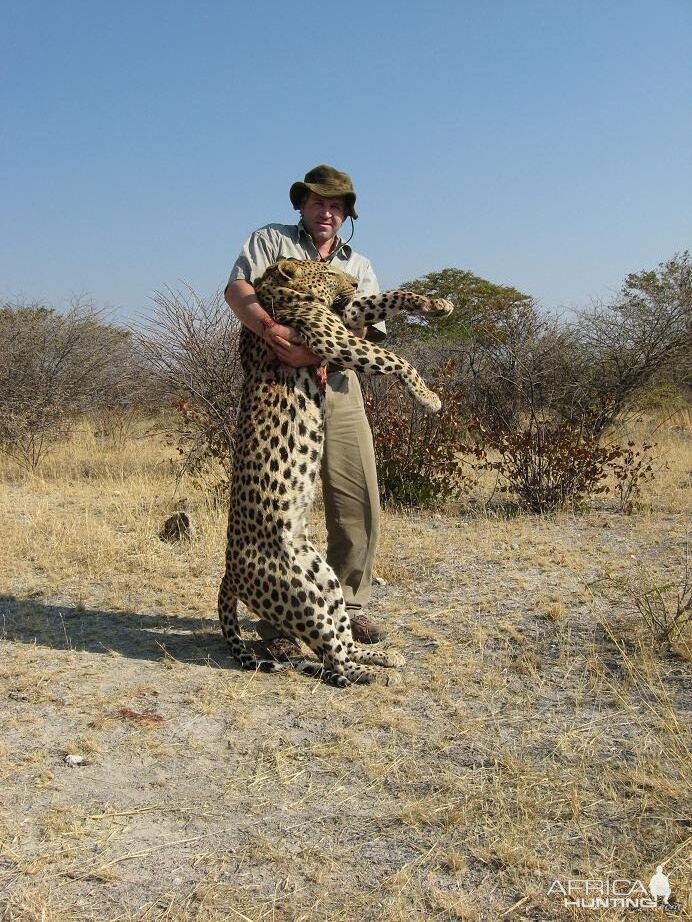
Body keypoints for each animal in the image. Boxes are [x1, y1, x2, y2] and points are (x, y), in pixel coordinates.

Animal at [218, 256, 454, 684]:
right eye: (327, 273)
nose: (354, 280)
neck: (274, 290)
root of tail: (230, 573)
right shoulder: (333, 340)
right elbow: (398, 360)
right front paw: (429, 398)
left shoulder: (344, 317)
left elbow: (384, 298)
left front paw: (436, 304)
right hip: (298, 594)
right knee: (333, 660)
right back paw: (374, 675)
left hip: (324, 579)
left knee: (340, 640)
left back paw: (384, 657)